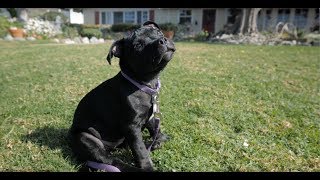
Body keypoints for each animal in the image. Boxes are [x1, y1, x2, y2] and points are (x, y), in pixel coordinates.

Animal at [69, 21, 176, 172]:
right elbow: (140, 150)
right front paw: (147, 166)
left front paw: (159, 139)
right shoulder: (131, 126)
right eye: (138, 46)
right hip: (86, 139)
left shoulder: (149, 117)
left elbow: (155, 129)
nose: (162, 40)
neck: (145, 83)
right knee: (112, 161)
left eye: (159, 33)